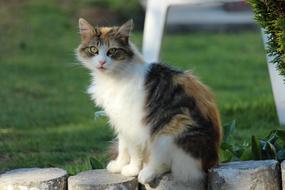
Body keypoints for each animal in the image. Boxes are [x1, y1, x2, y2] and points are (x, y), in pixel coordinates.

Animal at [76, 18, 222, 186]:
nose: (101, 62)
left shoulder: (134, 123)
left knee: (167, 163)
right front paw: (119, 165)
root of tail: (212, 161)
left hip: (172, 128)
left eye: (112, 51)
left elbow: (133, 150)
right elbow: (123, 145)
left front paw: (132, 169)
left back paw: (146, 173)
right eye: (93, 49)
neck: (112, 77)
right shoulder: (120, 119)